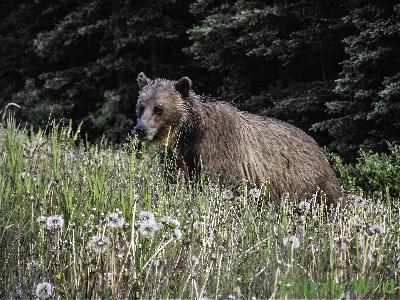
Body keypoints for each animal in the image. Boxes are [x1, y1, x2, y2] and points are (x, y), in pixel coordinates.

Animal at [136, 72, 342, 203]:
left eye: (159, 108)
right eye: (141, 106)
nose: (140, 129)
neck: (189, 134)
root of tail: (318, 147)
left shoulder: (219, 152)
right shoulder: (176, 158)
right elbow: (175, 181)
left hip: (310, 183)